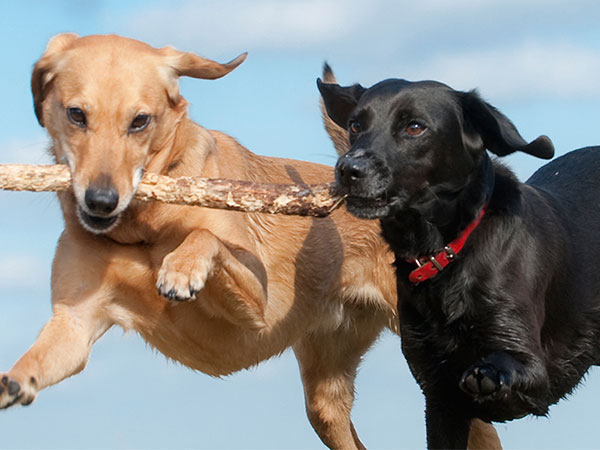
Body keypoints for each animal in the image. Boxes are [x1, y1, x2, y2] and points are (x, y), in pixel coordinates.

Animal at [0, 33, 500, 448]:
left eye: (140, 121)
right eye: (76, 115)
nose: (101, 201)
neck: (142, 228)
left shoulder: (255, 305)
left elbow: (207, 236)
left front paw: (182, 269)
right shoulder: (75, 325)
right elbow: (42, 356)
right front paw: (13, 381)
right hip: (325, 400)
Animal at [322, 74, 600, 450]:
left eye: (414, 127)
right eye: (355, 125)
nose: (348, 169)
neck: (446, 252)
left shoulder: (534, 369)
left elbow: (503, 368)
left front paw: (489, 374)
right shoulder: (438, 398)